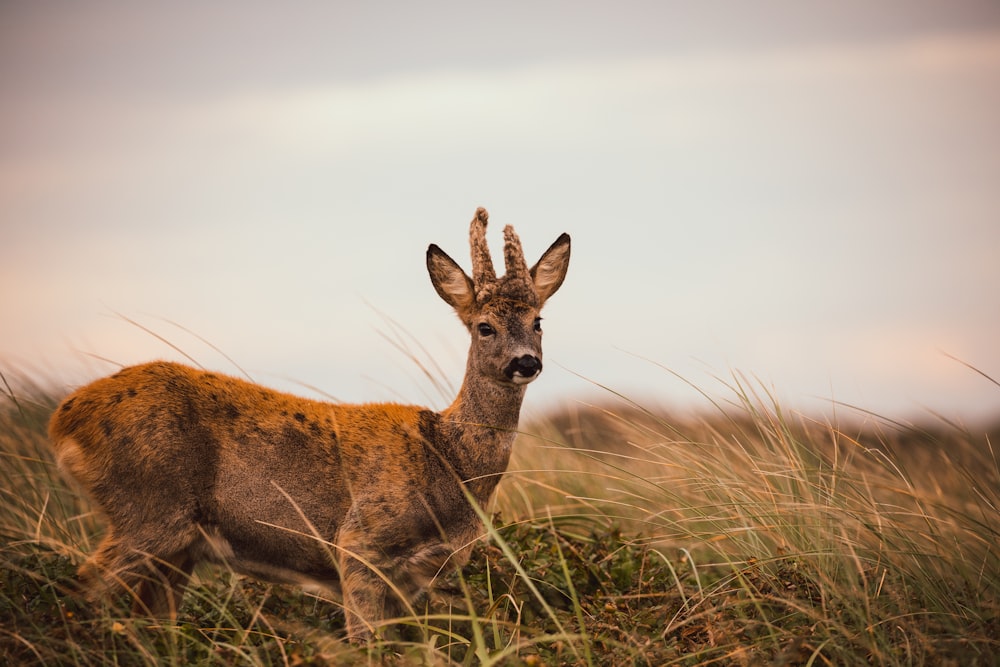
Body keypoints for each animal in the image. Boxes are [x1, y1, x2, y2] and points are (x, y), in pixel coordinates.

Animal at [50, 209, 572, 640]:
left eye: (539, 321)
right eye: (485, 327)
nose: (526, 362)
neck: (449, 460)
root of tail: (65, 419)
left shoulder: (412, 582)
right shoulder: (359, 543)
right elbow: (368, 645)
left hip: (175, 545)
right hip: (148, 508)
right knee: (77, 592)